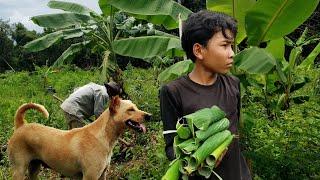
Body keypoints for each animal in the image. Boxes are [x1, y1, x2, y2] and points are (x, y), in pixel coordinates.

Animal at [8, 97, 151, 180]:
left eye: (136, 107)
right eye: (130, 110)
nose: (149, 116)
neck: (104, 136)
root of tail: (21, 125)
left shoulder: (102, 175)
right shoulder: (90, 176)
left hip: (34, 168)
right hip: (19, 170)